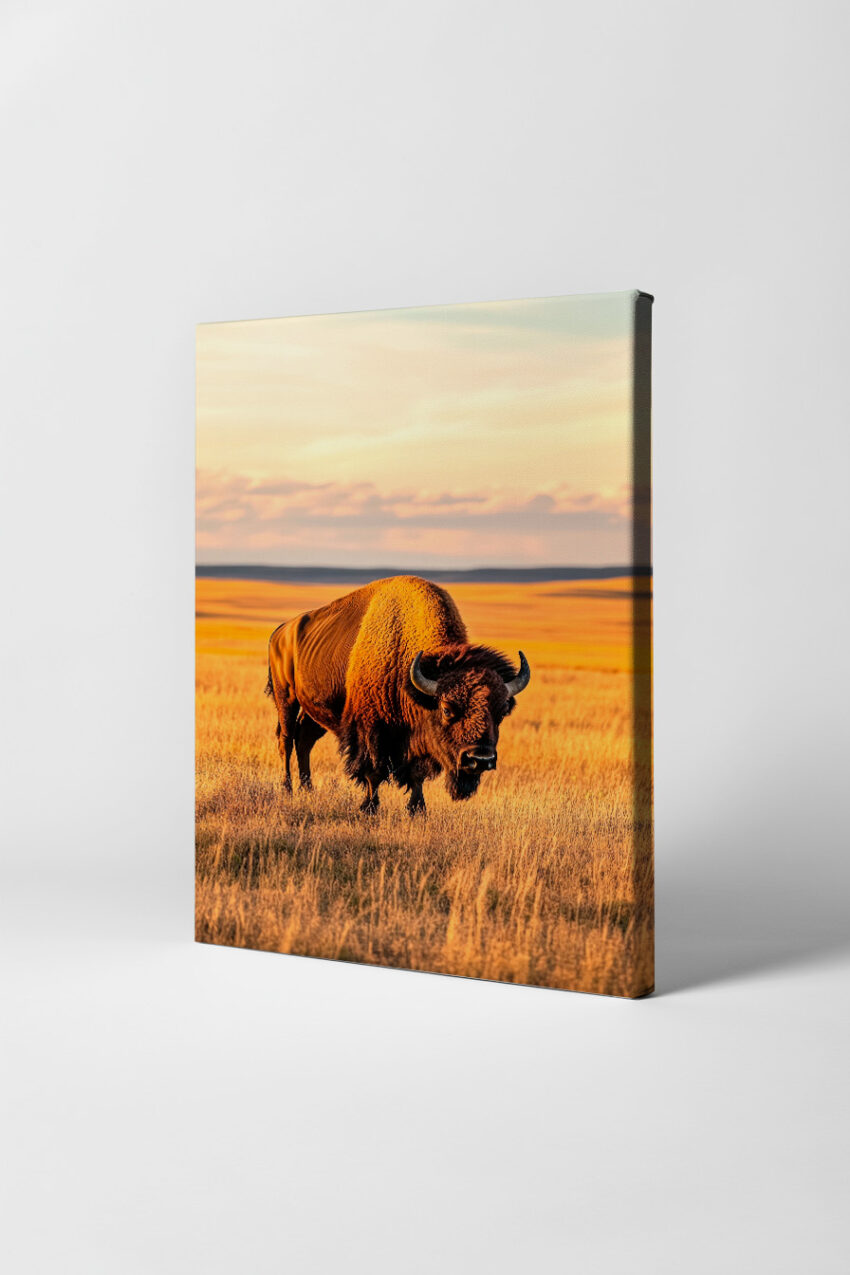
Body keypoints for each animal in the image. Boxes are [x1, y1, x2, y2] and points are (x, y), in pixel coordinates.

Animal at [265, 575, 530, 815]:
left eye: (502, 712)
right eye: (446, 709)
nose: (480, 759)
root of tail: (280, 631)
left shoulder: (415, 742)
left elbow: (417, 774)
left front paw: (417, 809)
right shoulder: (371, 729)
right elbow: (374, 771)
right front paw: (369, 807)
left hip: (316, 711)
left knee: (304, 740)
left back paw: (308, 790)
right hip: (286, 697)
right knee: (286, 740)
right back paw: (288, 789)